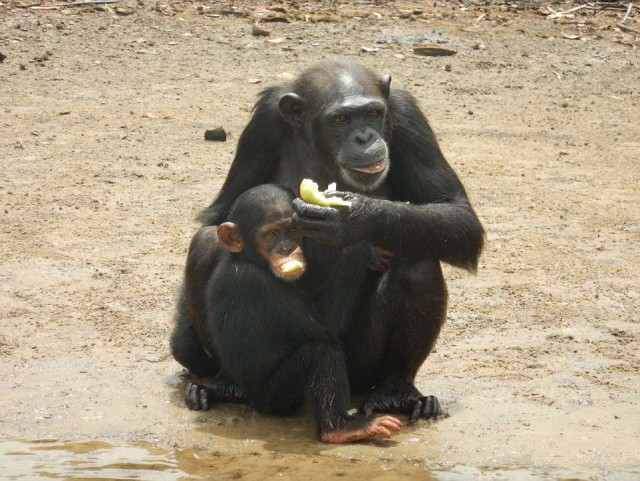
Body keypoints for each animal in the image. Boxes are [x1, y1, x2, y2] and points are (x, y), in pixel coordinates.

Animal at [178, 184, 402, 442]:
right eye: (271, 234)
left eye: (293, 229)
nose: (286, 248)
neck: (249, 259)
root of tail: (249, 399)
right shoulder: (259, 285)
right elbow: (328, 329)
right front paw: (358, 246)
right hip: (273, 399)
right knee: (321, 352)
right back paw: (341, 428)